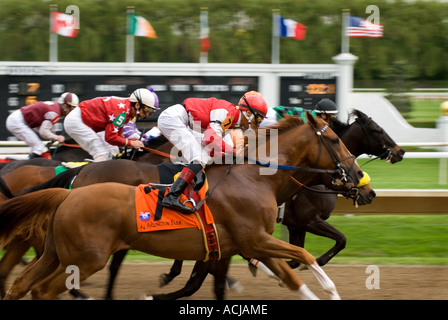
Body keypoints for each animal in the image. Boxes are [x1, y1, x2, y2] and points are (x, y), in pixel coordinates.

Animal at [0, 114, 362, 300]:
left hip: (55, 253)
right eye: (333, 139)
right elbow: (302, 255)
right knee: (43, 290)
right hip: (84, 259)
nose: (360, 178)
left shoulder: (249, 244)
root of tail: (69, 193)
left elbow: (292, 275)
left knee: (24, 284)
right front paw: (330, 288)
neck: (252, 178)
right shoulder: (255, 238)